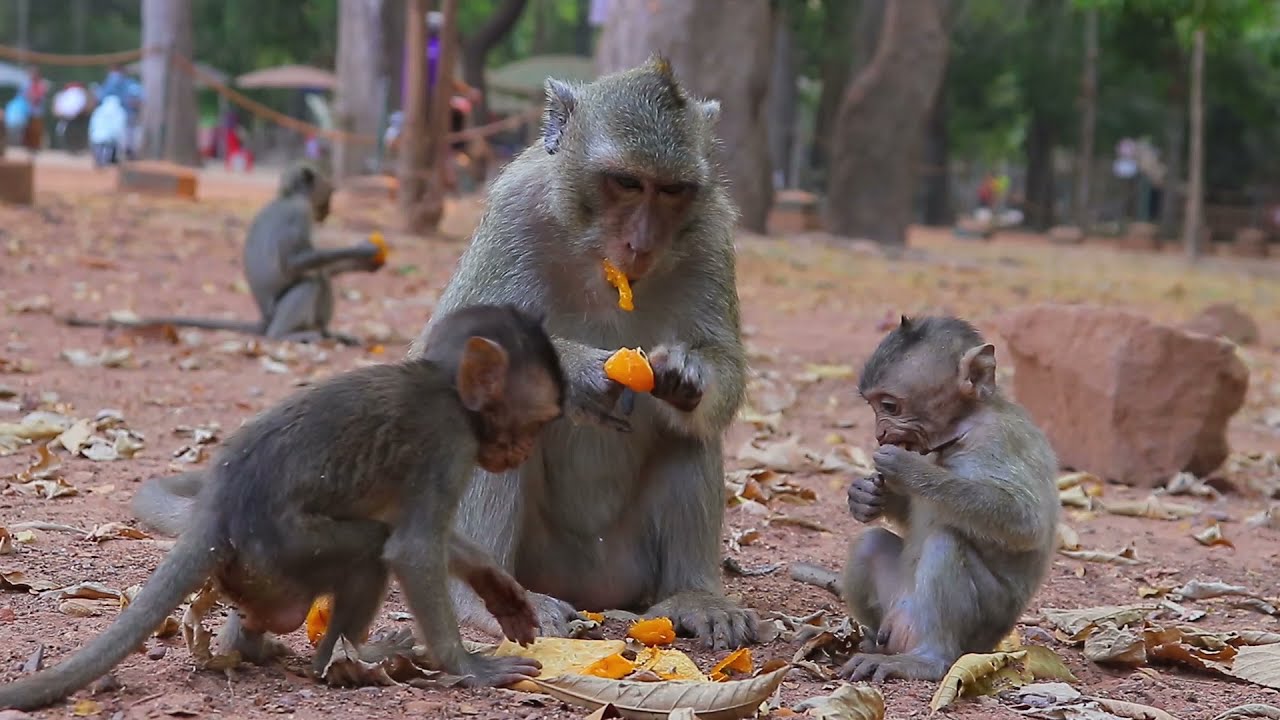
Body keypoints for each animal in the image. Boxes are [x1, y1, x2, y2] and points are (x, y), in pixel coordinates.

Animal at [0, 304, 563, 711]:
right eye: (536, 423)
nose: (522, 452)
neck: (447, 387)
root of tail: (216, 510)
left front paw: (496, 583)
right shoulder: (448, 442)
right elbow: (413, 547)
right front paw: (468, 666)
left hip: (258, 572)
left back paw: (252, 645)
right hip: (285, 551)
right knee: (369, 549)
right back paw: (357, 656)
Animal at [62, 162, 383, 347]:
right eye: (329, 195)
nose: (328, 211)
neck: (288, 197)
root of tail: (264, 319)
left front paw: (365, 262)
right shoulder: (297, 214)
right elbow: (295, 263)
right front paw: (362, 249)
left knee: (320, 278)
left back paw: (329, 333)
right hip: (276, 314)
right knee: (311, 282)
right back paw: (286, 335)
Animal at [128, 55, 759, 652]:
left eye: (672, 190)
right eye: (625, 182)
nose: (641, 243)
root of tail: (594, 588)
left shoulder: (711, 234)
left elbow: (717, 374)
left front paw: (687, 371)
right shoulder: (514, 215)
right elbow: (450, 353)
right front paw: (580, 370)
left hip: (625, 565)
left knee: (688, 433)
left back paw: (694, 596)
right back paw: (485, 599)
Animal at [835, 315, 1059, 682]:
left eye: (889, 406)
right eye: (873, 406)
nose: (880, 433)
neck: (961, 429)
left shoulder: (1000, 439)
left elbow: (1025, 521)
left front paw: (907, 468)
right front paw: (866, 496)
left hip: (982, 630)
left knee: (945, 542)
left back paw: (927, 659)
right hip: (896, 605)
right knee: (870, 544)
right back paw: (872, 641)